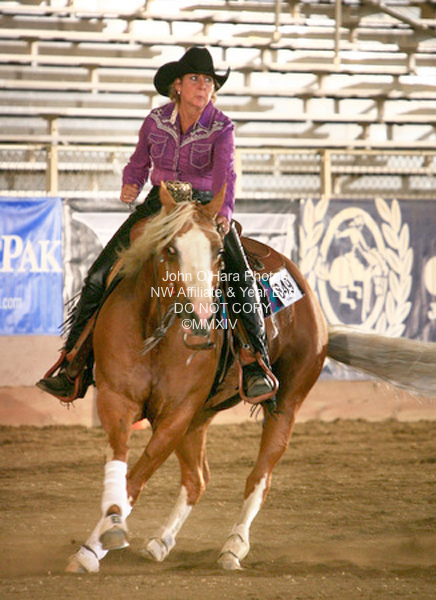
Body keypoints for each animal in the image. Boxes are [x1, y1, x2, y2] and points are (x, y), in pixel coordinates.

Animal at [66, 184, 436, 573]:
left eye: (217, 252)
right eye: (169, 249)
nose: (200, 323)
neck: (155, 333)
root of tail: (317, 311)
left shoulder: (175, 415)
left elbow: (137, 477)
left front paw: (94, 546)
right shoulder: (118, 400)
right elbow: (121, 466)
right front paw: (103, 535)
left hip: (285, 403)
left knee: (260, 476)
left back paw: (233, 546)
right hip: (200, 417)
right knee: (197, 479)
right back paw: (160, 542)